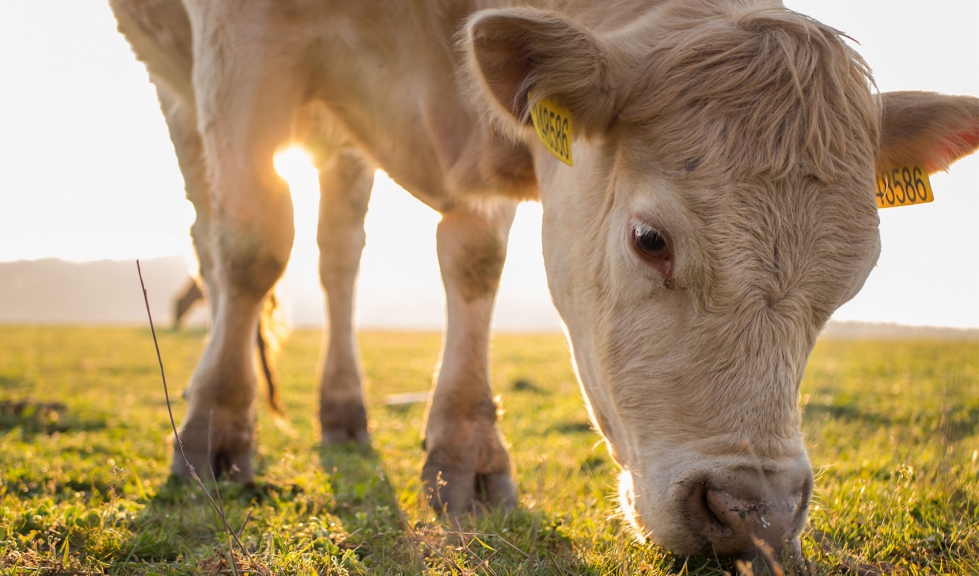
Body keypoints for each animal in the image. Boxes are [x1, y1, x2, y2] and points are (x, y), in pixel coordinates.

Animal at [107, 0, 979, 560]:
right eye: (650, 240)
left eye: (852, 279)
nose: (754, 514)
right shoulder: (238, 41)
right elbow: (253, 241)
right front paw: (214, 436)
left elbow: (472, 261)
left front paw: (463, 454)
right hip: (177, 79)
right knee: (218, 230)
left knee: (339, 247)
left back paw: (346, 411)